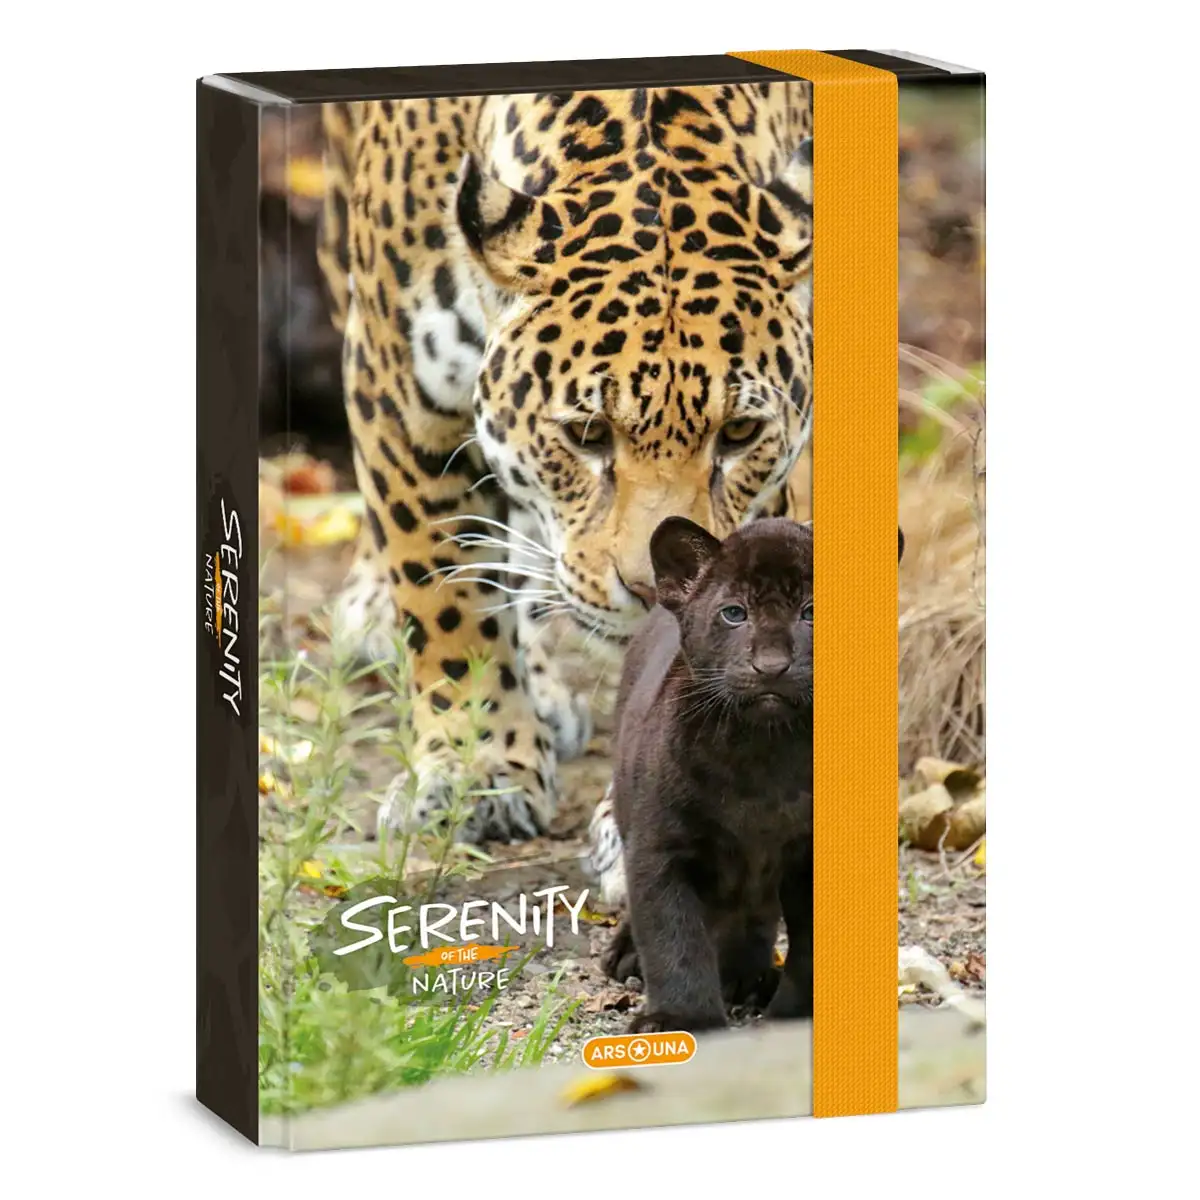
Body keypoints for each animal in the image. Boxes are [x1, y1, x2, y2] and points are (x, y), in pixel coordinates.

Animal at [316, 81, 813, 844]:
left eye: (737, 433)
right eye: (586, 432)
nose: (651, 586)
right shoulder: (400, 389)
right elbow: (444, 592)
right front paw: (476, 770)